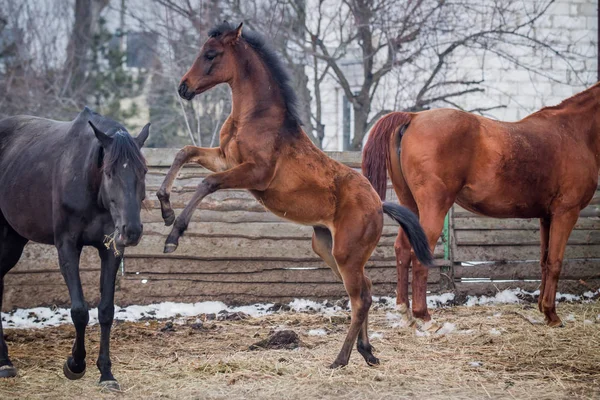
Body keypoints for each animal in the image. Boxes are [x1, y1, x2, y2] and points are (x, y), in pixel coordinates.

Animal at [0, 108, 150, 390]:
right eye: (109, 173)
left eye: (143, 172)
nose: (132, 230)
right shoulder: (67, 246)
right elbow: (80, 311)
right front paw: (75, 364)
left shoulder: (111, 249)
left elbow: (106, 311)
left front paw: (106, 373)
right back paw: (4, 362)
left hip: (14, 239)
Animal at [157, 22, 434, 368]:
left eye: (211, 54)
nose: (184, 88)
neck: (254, 117)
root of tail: (378, 203)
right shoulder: (225, 158)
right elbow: (185, 152)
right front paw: (164, 207)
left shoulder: (255, 173)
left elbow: (207, 183)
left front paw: (173, 235)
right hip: (327, 248)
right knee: (366, 290)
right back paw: (367, 351)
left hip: (346, 254)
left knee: (361, 299)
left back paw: (341, 359)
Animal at [360, 83, 600, 328]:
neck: (572, 132)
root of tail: (413, 117)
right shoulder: (565, 213)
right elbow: (555, 262)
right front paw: (552, 314)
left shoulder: (547, 216)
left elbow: (544, 261)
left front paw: (543, 309)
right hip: (433, 207)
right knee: (418, 255)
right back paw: (424, 316)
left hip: (410, 207)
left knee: (402, 249)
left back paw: (405, 312)